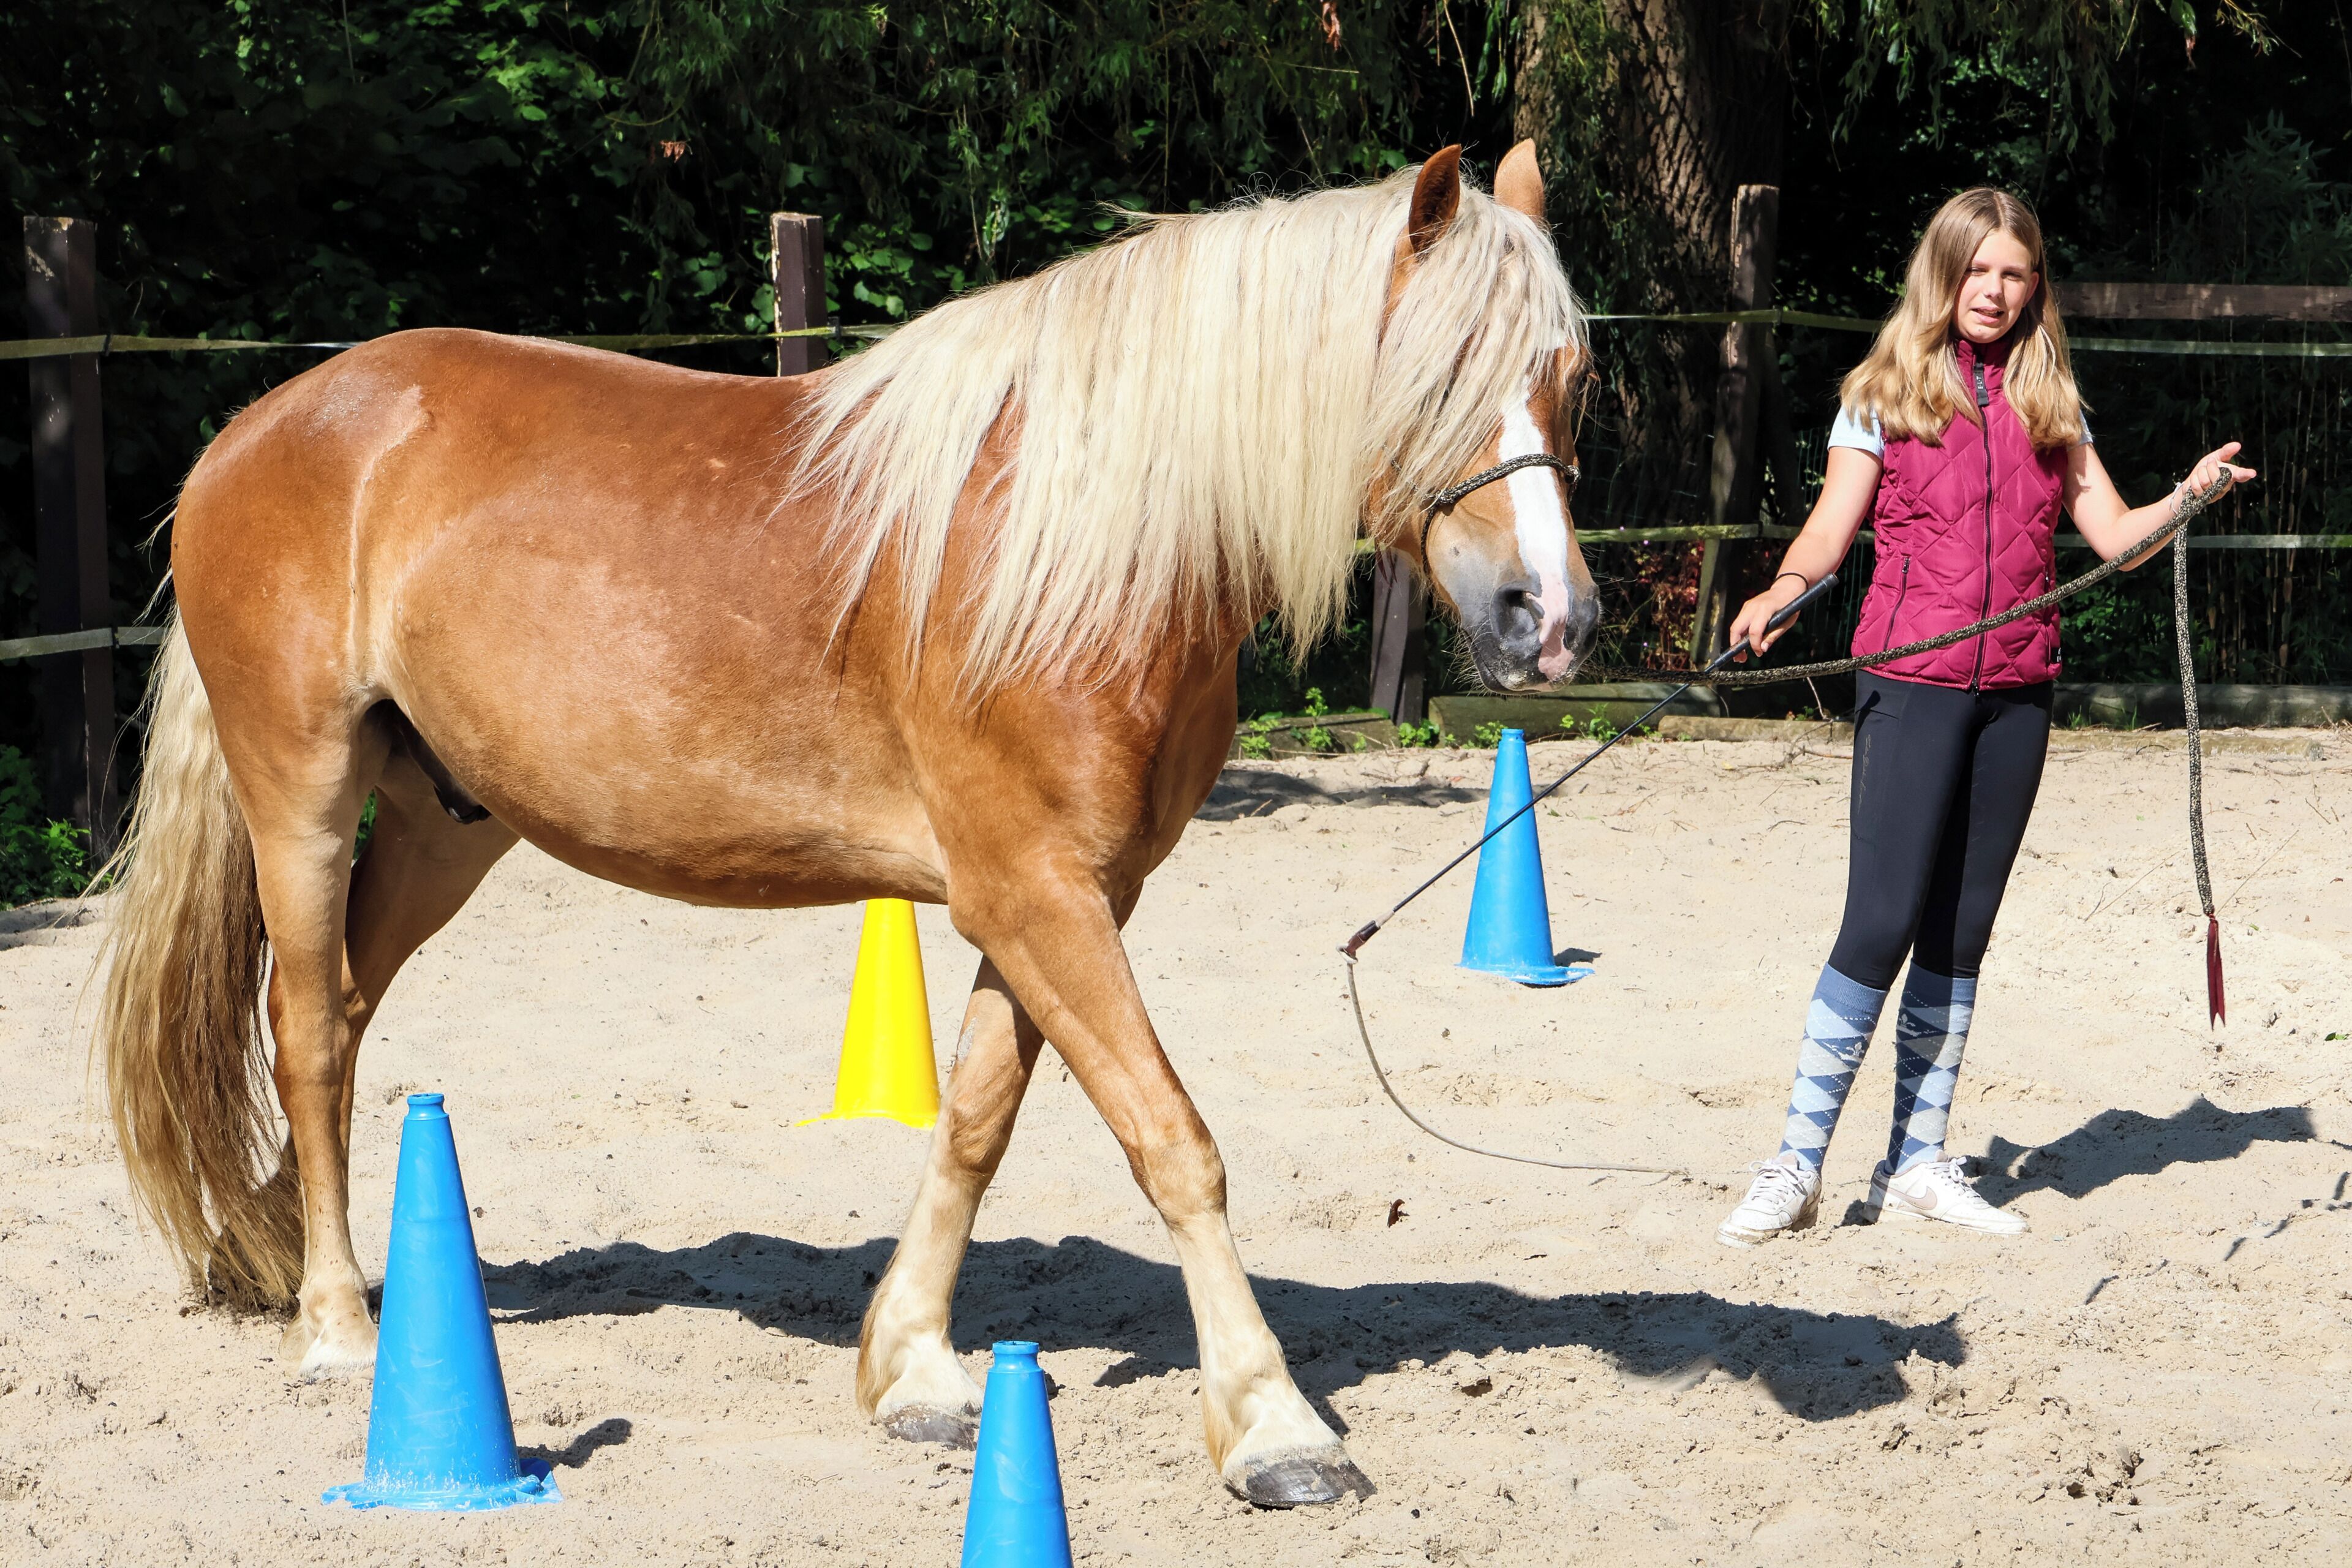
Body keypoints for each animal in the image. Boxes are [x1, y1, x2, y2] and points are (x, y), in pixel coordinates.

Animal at [93, 142, 1598, 1507]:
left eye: (1571, 379)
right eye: (1432, 372)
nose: (1551, 619)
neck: (1087, 544)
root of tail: (262, 425)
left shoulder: (1065, 896)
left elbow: (978, 1122)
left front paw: (915, 1369)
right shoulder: (1036, 890)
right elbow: (1173, 1140)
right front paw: (1277, 1426)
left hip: (445, 825)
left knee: (345, 1017)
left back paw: (296, 1266)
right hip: (301, 792)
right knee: (303, 1033)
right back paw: (339, 1330)